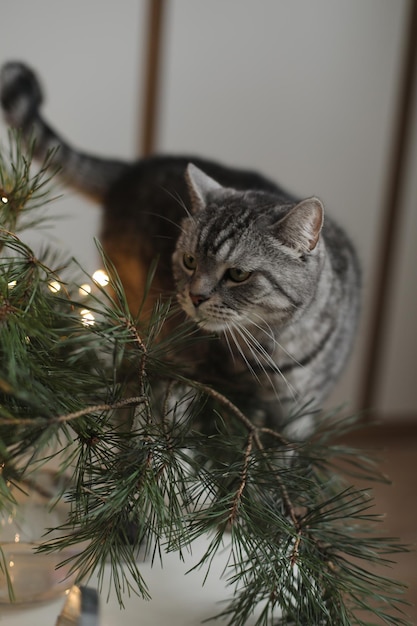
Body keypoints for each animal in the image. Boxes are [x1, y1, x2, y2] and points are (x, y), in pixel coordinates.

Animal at [0, 61, 360, 436]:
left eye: (238, 274)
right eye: (189, 261)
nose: (195, 297)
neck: (266, 350)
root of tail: (132, 168)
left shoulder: (297, 413)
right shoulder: (192, 382)